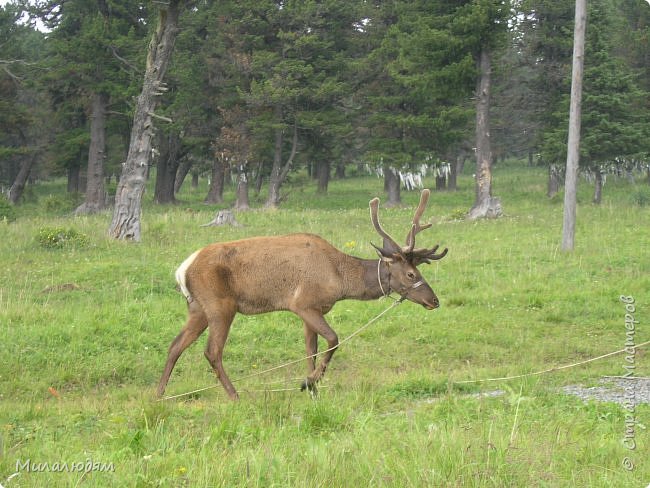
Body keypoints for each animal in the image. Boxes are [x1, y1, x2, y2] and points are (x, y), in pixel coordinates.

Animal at [158, 189, 446, 398]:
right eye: (411, 274)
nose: (434, 300)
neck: (340, 279)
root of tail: (183, 269)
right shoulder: (303, 303)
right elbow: (334, 340)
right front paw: (308, 382)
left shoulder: (312, 310)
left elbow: (311, 349)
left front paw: (312, 387)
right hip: (220, 305)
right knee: (212, 351)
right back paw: (234, 395)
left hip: (197, 308)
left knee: (175, 345)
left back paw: (159, 394)